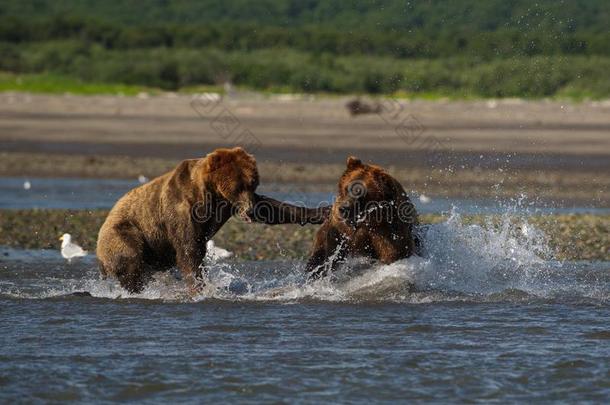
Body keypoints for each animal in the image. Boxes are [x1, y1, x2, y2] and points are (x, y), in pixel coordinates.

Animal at [97, 147, 328, 292]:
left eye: (252, 183)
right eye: (237, 186)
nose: (249, 211)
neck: (210, 193)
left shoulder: (225, 205)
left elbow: (271, 208)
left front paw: (322, 211)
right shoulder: (181, 209)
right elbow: (189, 250)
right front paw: (200, 289)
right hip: (125, 234)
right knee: (131, 262)